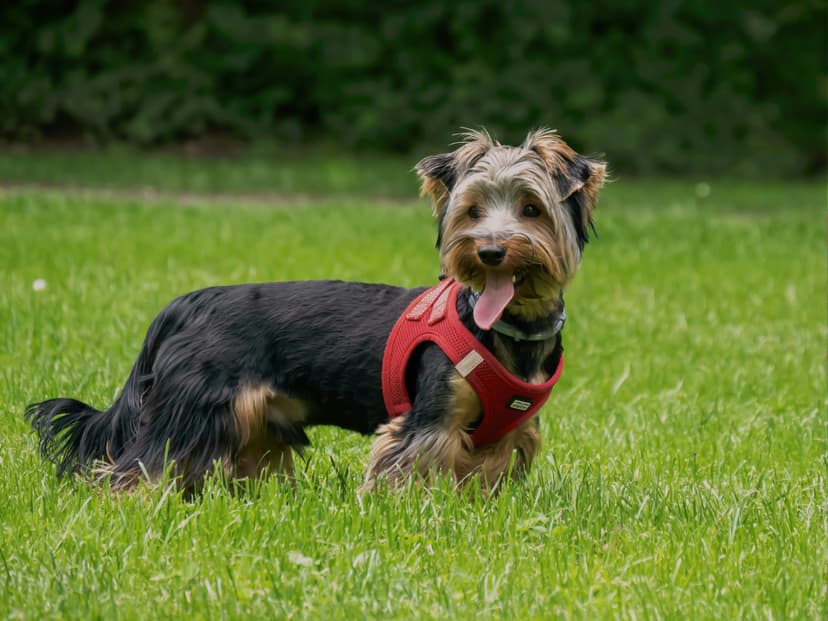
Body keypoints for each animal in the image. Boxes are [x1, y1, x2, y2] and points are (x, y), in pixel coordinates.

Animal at [25, 128, 604, 492]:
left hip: (252, 424)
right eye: (473, 211)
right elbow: (406, 473)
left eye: (531, 209)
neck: (508, 329)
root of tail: (188, 302)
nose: (489, 251)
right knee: (136, 468)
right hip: (192, 407)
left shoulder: (504, 437)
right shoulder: (428, 424)